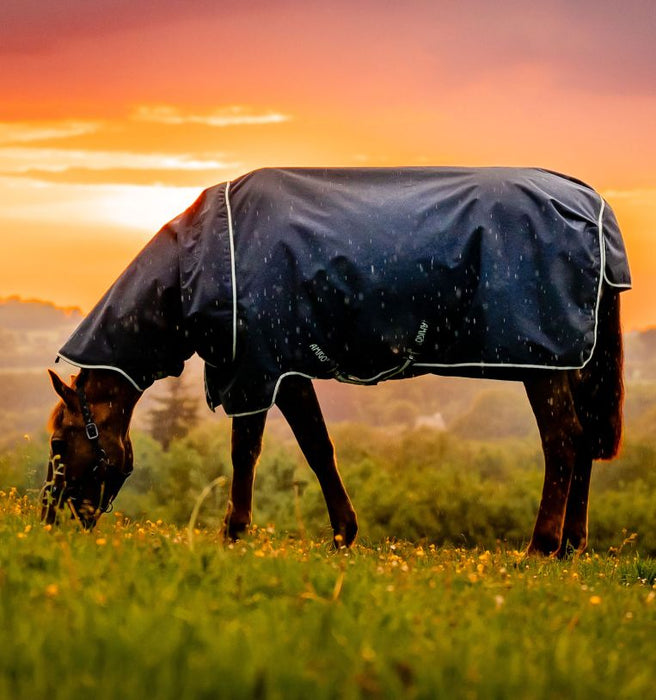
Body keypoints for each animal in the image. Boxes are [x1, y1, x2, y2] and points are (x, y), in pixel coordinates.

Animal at [42, 167, 631, 556]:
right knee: (582, 440)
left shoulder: (261, 371)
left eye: (58, 443)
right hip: (568, 364)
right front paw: (343, 533)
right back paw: (571, 546)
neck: (196, 263)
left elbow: (258, 451)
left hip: (542, 362)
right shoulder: (284, 370)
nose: (49, 519)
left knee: (563, 439)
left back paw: (541, 546)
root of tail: (592, 204)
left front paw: (235, 532)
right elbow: (318, 447)